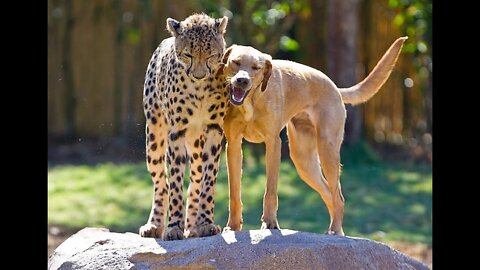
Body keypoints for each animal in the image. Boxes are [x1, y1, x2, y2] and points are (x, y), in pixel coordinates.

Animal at [139, 13, 229, 240]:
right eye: (188, 54)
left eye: (211, 55)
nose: (198, 75)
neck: (199, 88)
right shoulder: (176, 132)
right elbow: (175, 183)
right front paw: (173, 227)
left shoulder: (214, 129)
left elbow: (208, 180)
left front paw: (205, 223)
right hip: (154, 137)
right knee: (161, 183)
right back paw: (155, 224)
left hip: (197, 143)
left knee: (195, 181)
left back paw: (192, 227)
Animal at [219, 36, 406, 236]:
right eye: (236, 62)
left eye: (256, 67)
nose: (242, 81)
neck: (251, 102)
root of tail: (335, 88)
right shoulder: (234, 146)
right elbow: (234, 193)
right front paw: (233, 226)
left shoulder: (273, 144)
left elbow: (270, 191)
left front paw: (270, 223)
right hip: (304, 162)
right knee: (329, 194)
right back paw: (337, 231)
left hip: (327, 152)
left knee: (338, 197)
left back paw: (334, 230)